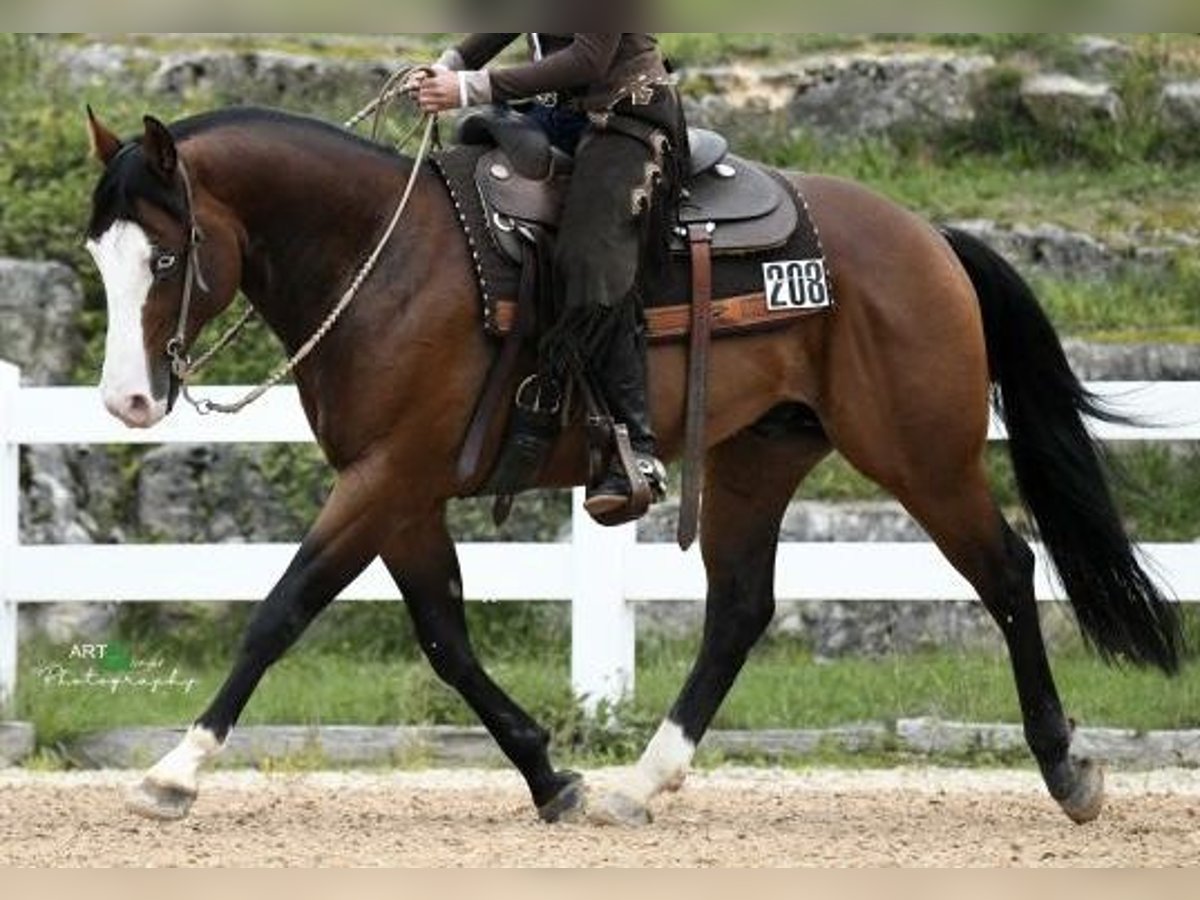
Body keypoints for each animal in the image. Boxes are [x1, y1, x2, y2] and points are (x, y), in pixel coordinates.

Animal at [82, 105, 1182, 828]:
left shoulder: (386, 478)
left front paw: (176, 770)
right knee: (739, 610)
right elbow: (444, 638)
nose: (127, 402)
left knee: (1006, 571)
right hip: (753, 462)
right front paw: (550, 777)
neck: (386, 264)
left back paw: (1068, 772)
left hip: (924, 454)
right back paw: (640, 783)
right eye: (100, 258)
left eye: (167, 260)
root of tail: (929, 240)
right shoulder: (400, 492)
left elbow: (282, 610)